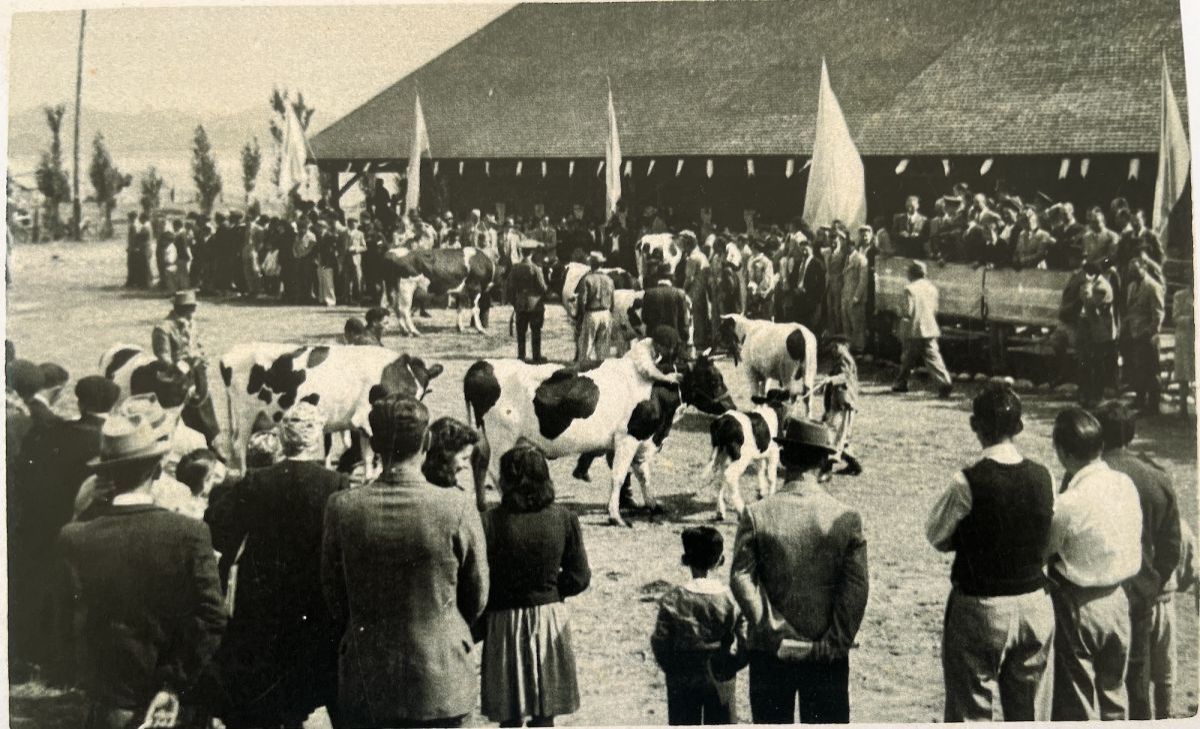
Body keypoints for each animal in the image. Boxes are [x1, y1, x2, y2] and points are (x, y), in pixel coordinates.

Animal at [218, 343, 443, 474]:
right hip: (246, 415)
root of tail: (230, 353)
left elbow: (368, 458)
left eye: (421, 394)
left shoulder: (363, 425)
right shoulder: (365, 421)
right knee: (239, 446)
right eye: (402, 393)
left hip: (258, 418)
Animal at [463, 351, 734, 527]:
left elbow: (643, 474)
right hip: (502, 438)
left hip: (485, 438)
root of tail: (480, 366)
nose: (731, 405)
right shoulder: (627, 437)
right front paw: (615, 515)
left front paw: (653, 504)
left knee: (478, 464)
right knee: (495, 472)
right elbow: (619, 476)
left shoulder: (643, 439)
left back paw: (481, 505)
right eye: (713, 379)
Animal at [705, 388, 792, 521]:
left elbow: (760, 471)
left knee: (721, 477)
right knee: (729, 476)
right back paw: (741, 509)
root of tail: (722, 421)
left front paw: (762, 493)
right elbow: (771, 476)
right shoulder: (774, 453)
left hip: (723, 454)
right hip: (740, 457)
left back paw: (720, 512)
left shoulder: (760, 454)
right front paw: (770, 495)